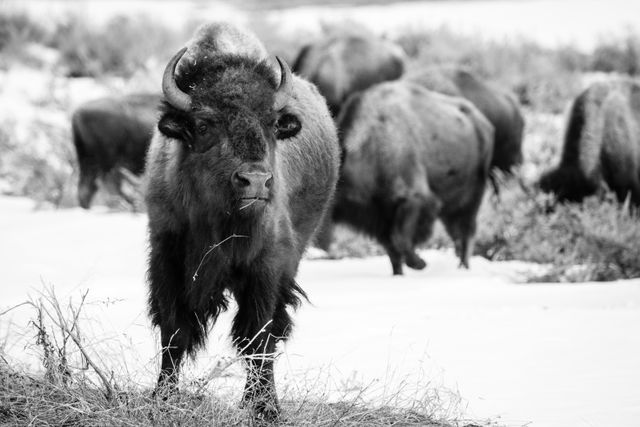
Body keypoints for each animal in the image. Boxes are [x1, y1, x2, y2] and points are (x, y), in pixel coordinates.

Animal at [146, 23, 342, 422]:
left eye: (271, 123)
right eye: (204, 124)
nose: (255, 181)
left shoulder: (265, 268)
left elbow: (256, 334)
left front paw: (265, 408)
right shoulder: (166, 256)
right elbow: (173, 331)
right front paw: (162, 398)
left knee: (272, 330)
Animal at [332, 82, 492, 276]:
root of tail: (484, 124)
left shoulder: (413, 199)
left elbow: (400, 239)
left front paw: (420, 263)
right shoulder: (381, 216)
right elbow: (392, 250)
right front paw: (399, 273)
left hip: (470, 198)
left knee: (466, 233)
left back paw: (463, 268)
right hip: (451, 207)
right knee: (458, 235)